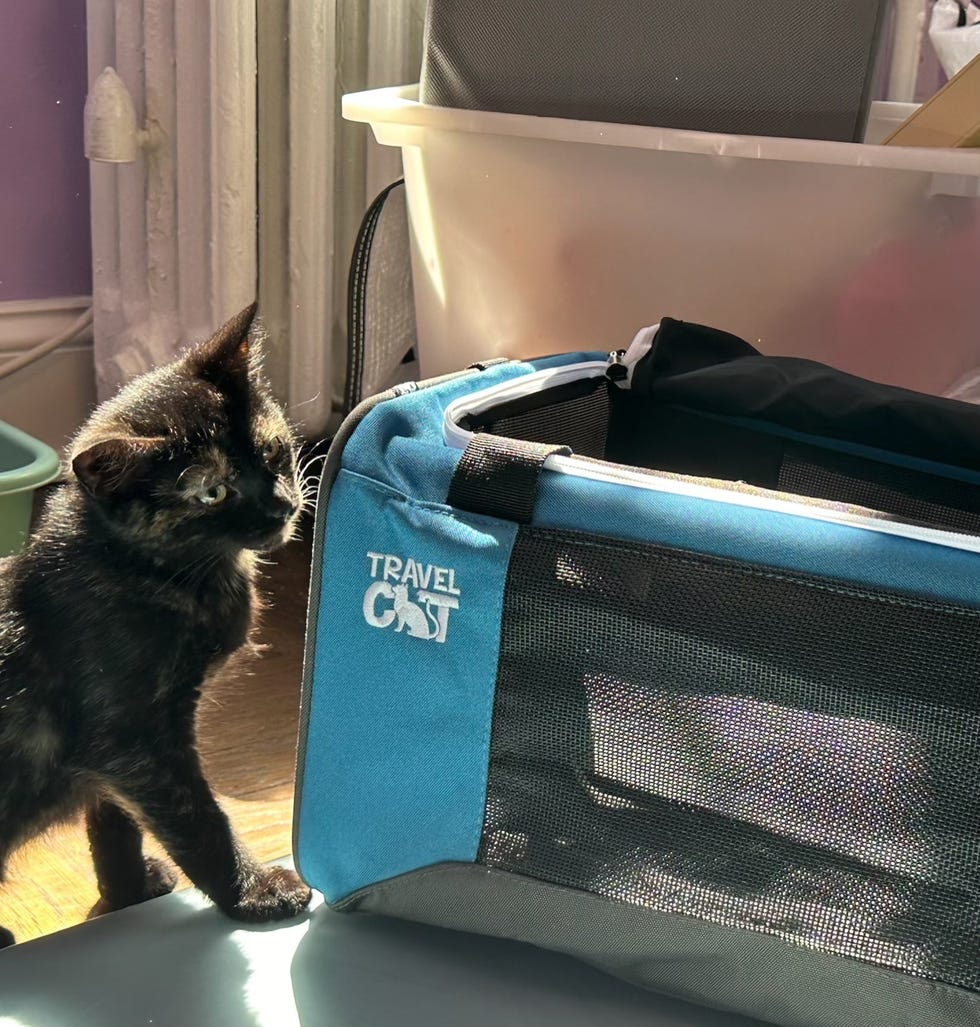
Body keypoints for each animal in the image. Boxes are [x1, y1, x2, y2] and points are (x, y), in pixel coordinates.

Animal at [0, 299, 310, 940]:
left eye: (271, 452)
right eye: (213, 492)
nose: (282, 506)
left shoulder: (116, 757)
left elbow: (113, 825)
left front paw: (127, 893)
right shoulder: (132, 737)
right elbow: (197, 818)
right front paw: (255, 893)